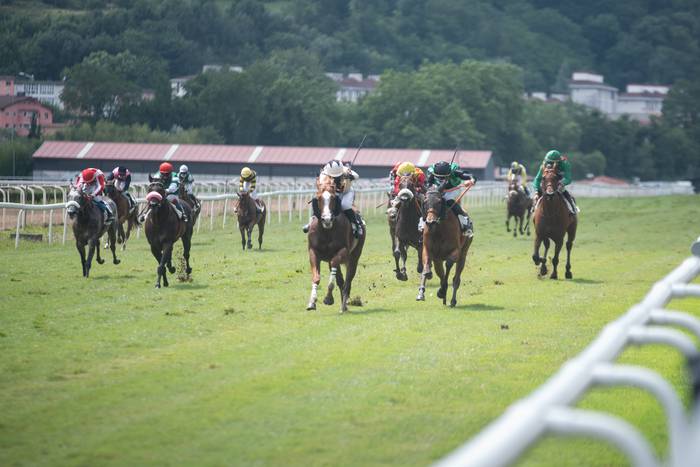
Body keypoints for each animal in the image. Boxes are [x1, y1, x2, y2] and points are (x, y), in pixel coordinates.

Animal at [306, 179, 366, 314]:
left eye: (333, 198)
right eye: (319, 198)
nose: (327, 219)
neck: (327, 231)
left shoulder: (342, 251)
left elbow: (335, 274)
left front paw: (328, 298)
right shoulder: (313, 252)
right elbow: (316, 277)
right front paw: (312, 302)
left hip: (354, 256)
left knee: (348, 280)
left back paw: (344, 305)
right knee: (341, 280)